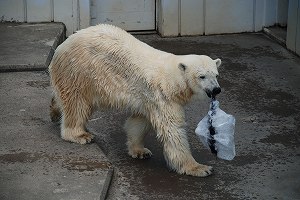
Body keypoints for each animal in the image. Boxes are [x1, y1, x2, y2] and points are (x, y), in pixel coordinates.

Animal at [49, 23, 221, 177]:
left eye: (216, 75)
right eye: (202, 76)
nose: (216, 90)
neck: (171, 79)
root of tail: (61, 47)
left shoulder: (147, 98)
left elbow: (139, 122)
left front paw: (140, 151)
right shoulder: (162, 96)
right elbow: (173, 130)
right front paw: (200, 168)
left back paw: (54, 110)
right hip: (79, 72)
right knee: (77, 104)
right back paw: (80, 135)